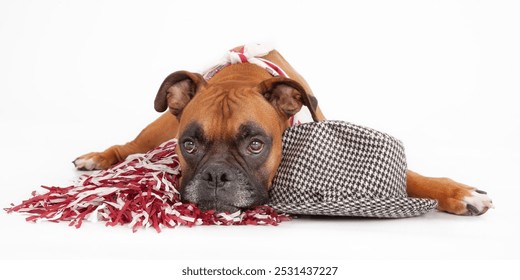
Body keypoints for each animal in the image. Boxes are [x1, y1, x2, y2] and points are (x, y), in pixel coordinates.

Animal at [72, 45, 492, 217]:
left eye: (256, 145)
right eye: (189, 145)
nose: (216, 176)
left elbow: (409, 176)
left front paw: (458, 193)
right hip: (158, 127)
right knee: (129, 145)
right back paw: (99, 157)